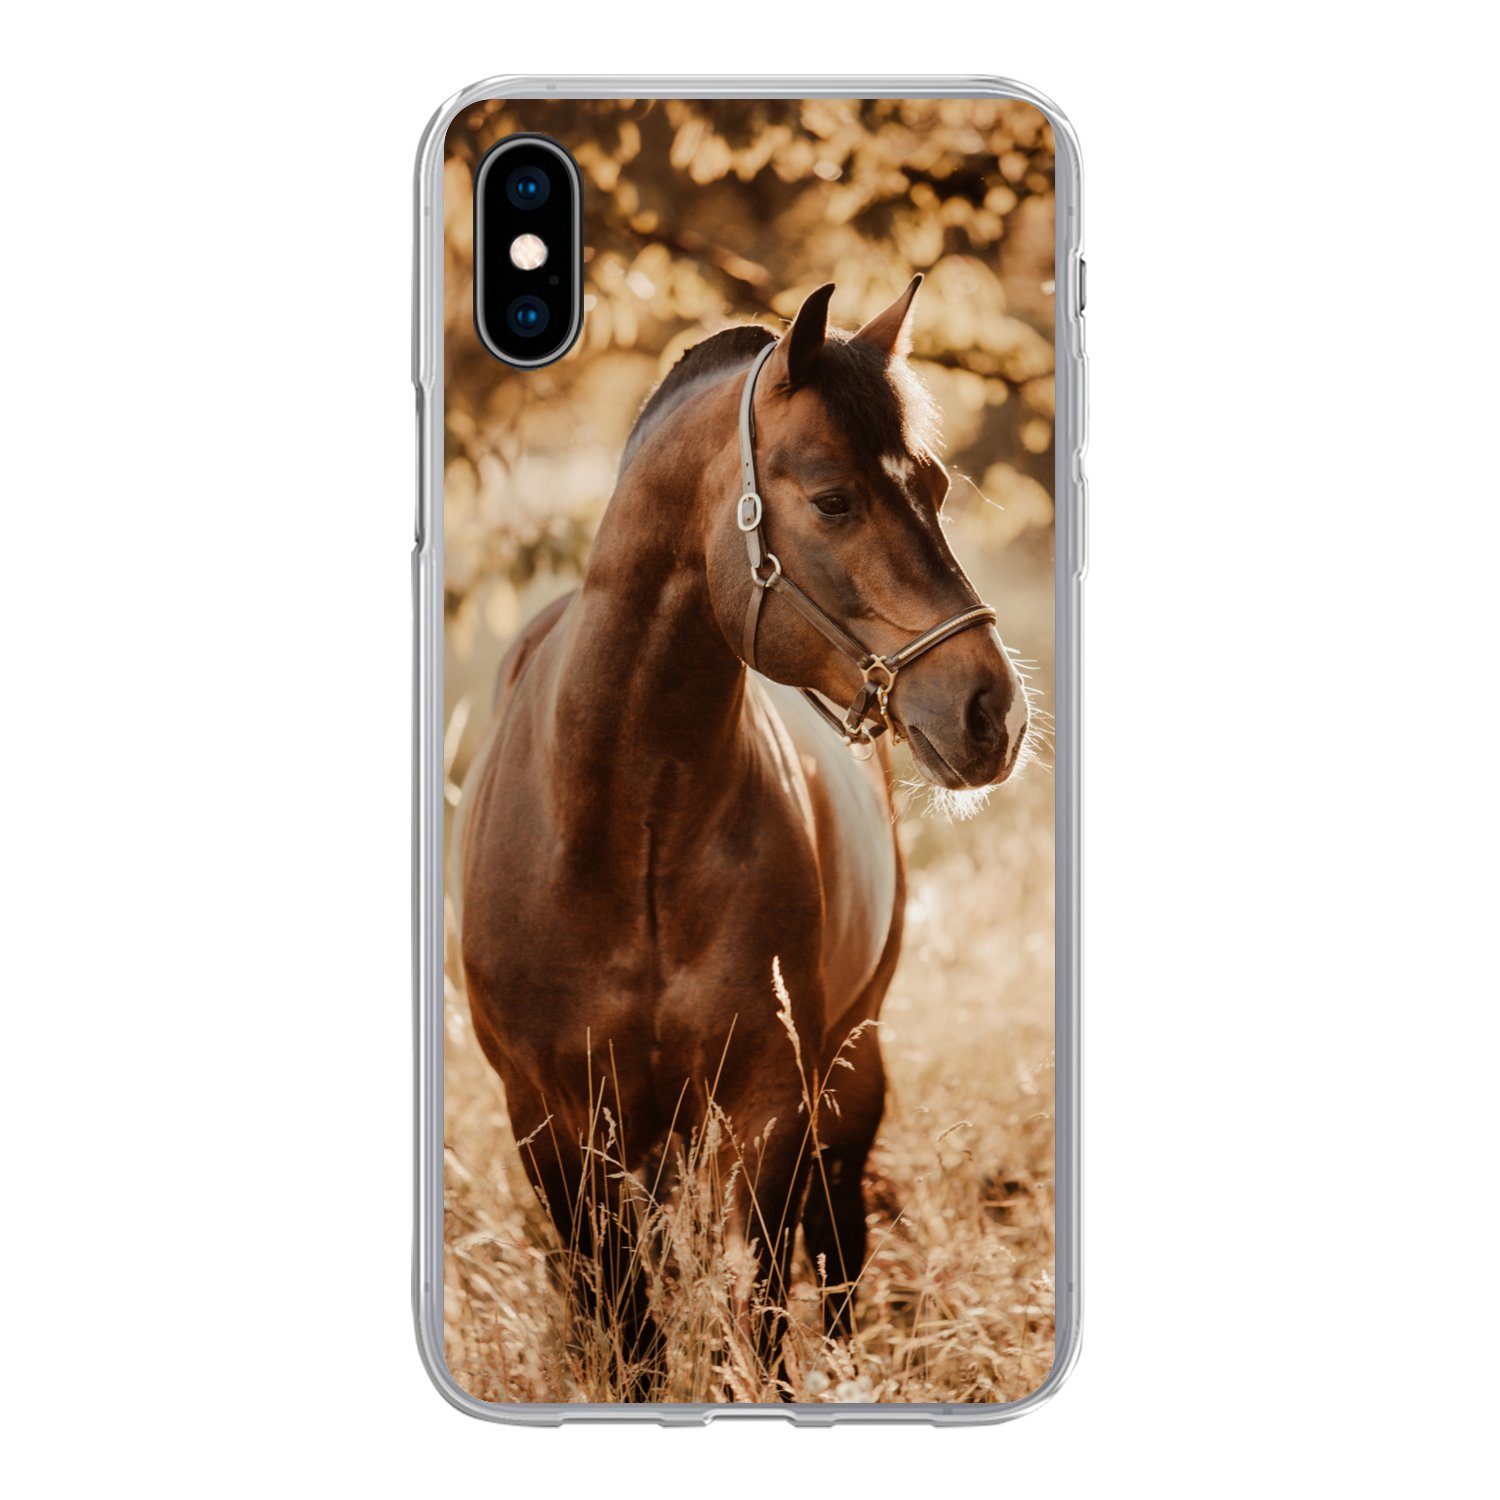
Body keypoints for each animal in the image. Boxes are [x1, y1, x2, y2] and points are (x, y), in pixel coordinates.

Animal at [454, 277, 1029, 1397]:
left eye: (936, 485)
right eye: (834, 498)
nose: (995, 712)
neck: (623, 826)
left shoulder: (767, 1106)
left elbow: (754, 1319)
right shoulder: (551, 1119)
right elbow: (627, 1334)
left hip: (848, 1072)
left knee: (838, 1253)